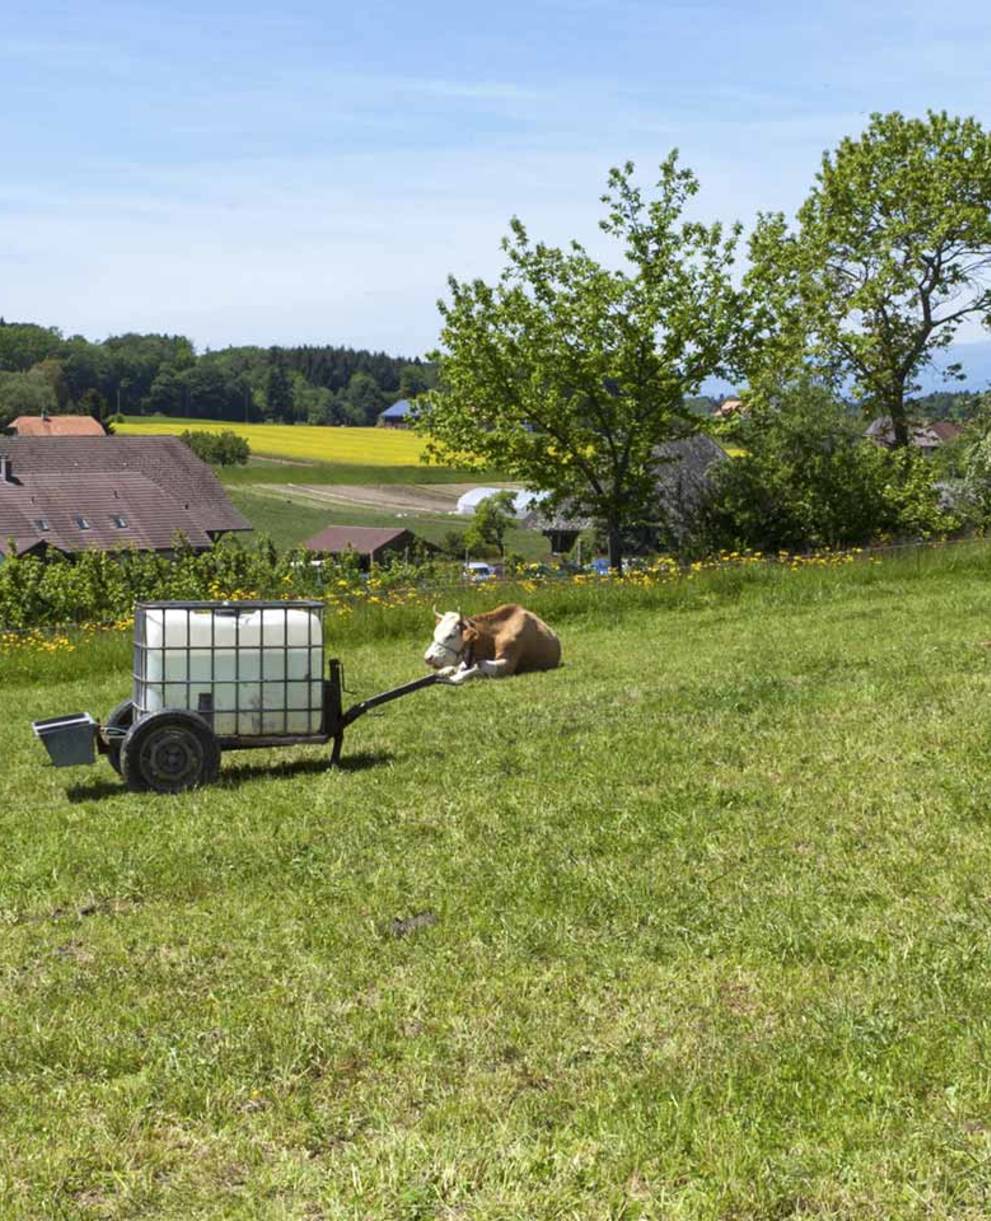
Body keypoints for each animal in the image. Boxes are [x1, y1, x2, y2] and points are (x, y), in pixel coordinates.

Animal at [424, 603, 562, 684]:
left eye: (450, 636)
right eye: (435, 634)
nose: (428, 658)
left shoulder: (508, 664)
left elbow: (481, 665)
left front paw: (456, 677)